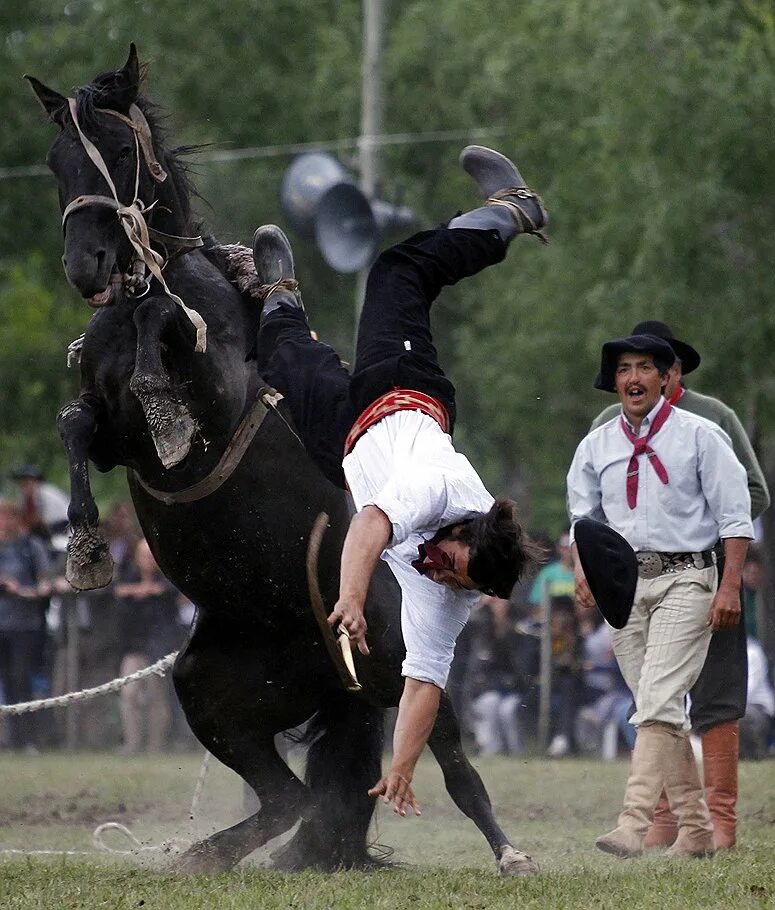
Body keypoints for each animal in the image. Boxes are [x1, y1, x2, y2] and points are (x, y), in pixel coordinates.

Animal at [28, 46, 540, 880]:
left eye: (121, 149)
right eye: (55, 159)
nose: (87, 266)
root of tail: (331, 668)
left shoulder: (220, 397)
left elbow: (166, 340)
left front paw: (161, 398)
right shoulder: (108, 437)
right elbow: (75, 427)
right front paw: (84, 548)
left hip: (402, 663)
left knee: (449, 761)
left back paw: (506, 851)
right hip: (206, 687)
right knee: (289, 798)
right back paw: (202, 856)